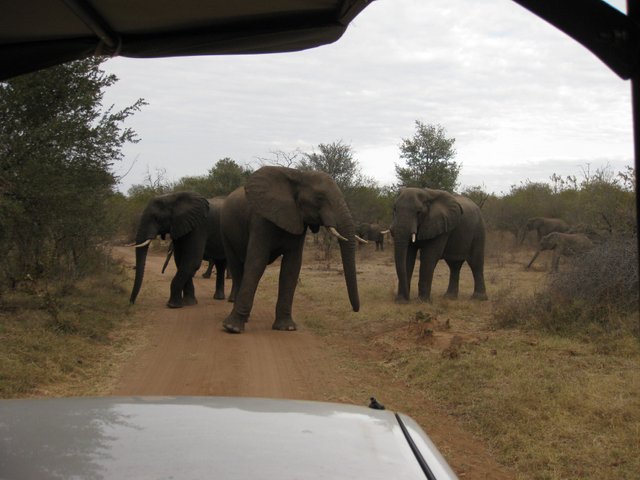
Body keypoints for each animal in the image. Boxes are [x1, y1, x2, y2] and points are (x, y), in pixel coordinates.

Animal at [220, 166, 360, 334]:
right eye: (319, 198)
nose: (355, 310)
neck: (298, 175)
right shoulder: (261, 219)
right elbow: (256, 263)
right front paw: (233, 328)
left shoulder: (298, 221)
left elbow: (291, 267)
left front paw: (287, 328)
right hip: (225, 231)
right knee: (236, 267)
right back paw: (236, 322)